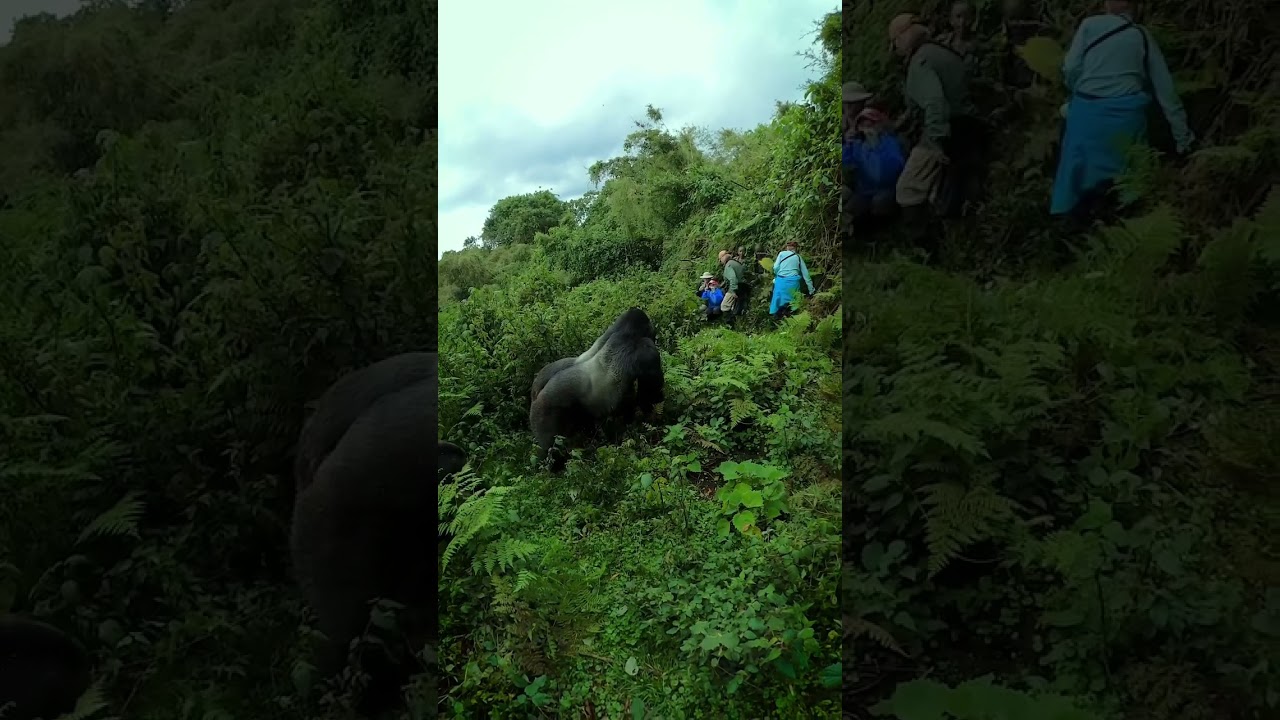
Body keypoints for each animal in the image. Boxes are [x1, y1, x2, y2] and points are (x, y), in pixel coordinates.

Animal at [529, 308, 664, 470]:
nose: (655, 334)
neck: (626, 333)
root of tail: (536, 394)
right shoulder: (647, 353)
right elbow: (650, 397)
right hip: (545, 412)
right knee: (554, 449)